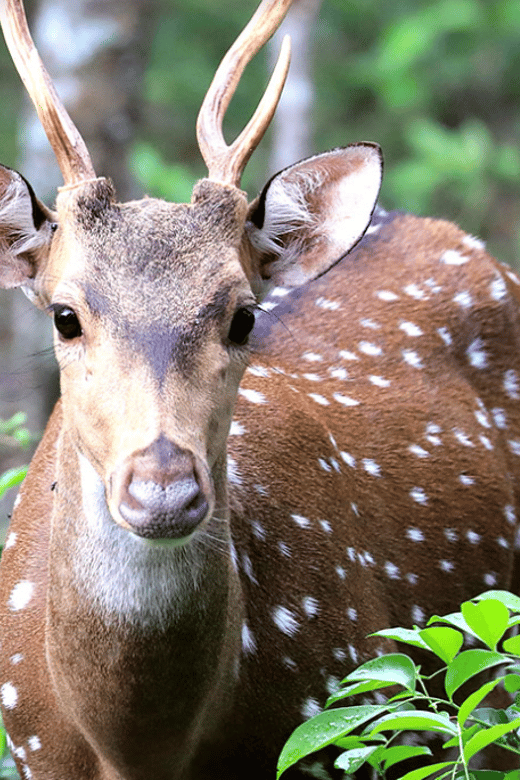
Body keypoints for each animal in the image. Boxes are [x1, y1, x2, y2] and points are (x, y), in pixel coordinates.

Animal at [1, 0, 520, 776]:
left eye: (244, 315)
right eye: (65, 315)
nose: (163, 489)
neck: (138, 745)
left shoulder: (345, 718)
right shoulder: (31, 748)